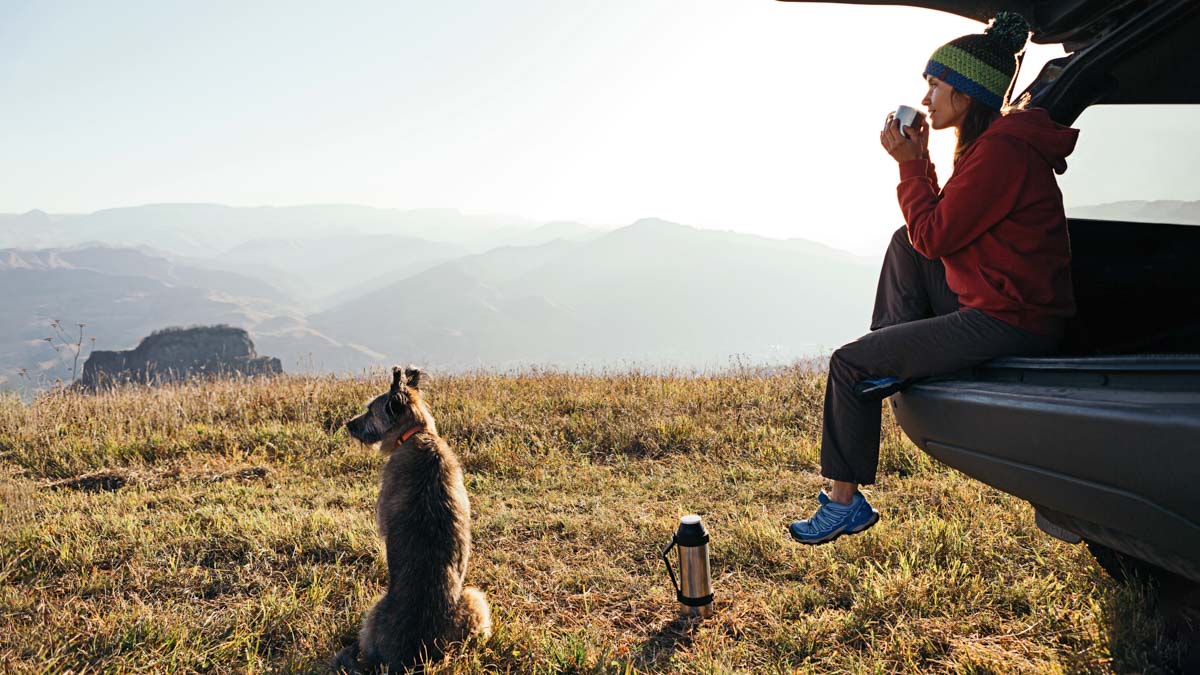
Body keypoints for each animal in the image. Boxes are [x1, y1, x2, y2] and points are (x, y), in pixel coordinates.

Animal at [333, 365, 492, 667]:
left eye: (371, 411)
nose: (348, 425)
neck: (416, 434)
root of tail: (413, 655)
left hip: (374, 615)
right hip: (474, 601)